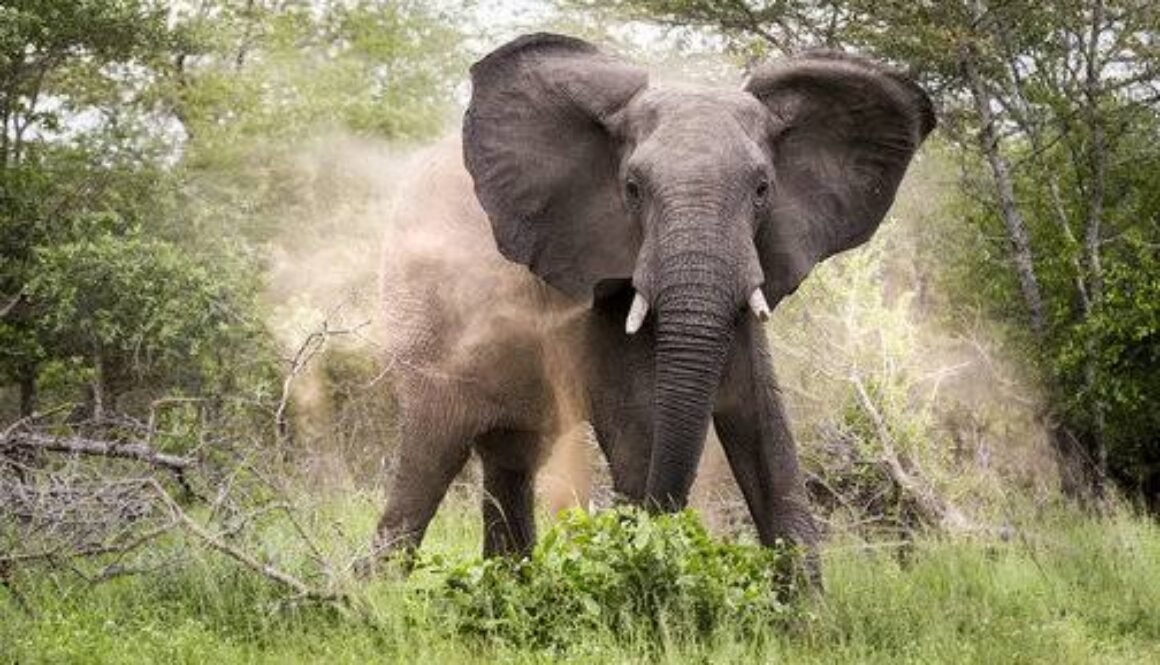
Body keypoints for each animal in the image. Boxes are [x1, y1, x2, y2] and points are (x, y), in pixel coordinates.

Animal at [371, 33, 935, 576]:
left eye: (762, 189)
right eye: (633, 189)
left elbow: (765, 428)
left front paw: (806, 608)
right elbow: (641, 434)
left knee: (510, 458)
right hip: (426, 321)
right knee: (430, 458)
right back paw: (375, 590)